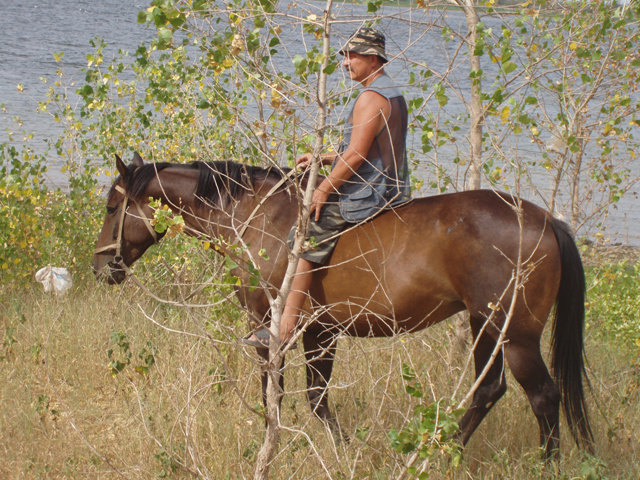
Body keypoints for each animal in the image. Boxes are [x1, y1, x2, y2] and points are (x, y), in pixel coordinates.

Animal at [92, 153, 592, 458]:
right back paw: (439, 450)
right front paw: (344, 449)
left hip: (516, 335)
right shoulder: (321, 333)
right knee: (489, 391)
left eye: (113, 207)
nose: (101, 268)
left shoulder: (270, 325)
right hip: (484, 324)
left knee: (544, 398)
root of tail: (545, 220)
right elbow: (316, 399)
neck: (256, 217)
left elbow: (275, 392)